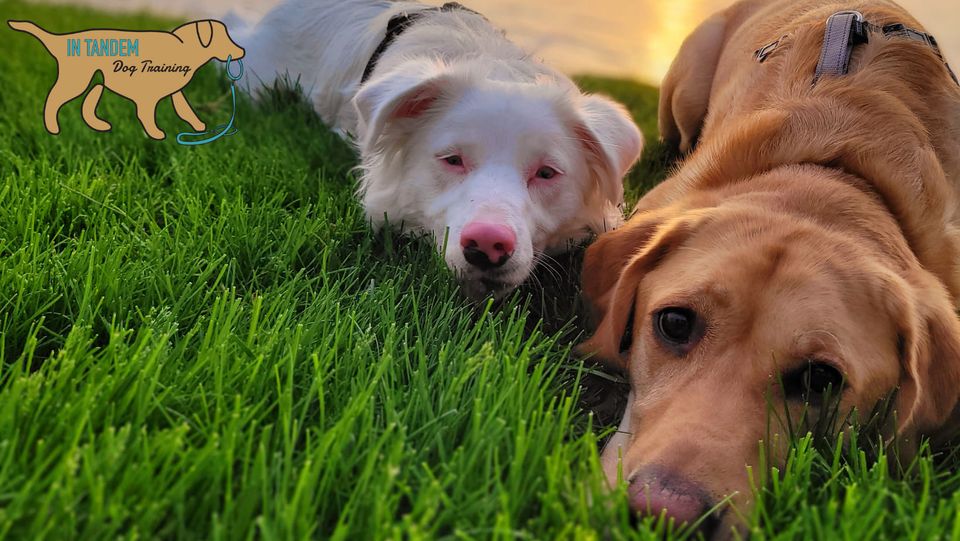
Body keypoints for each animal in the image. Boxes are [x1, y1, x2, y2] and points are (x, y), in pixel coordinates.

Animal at [7, 19, 246, 139]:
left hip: (96, 81)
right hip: (78, 80)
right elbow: (147, 115)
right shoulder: (148, 96)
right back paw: (53, 128)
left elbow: (185, 109)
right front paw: (156, 133)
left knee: (87, 105)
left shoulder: (175, 92)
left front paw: (199, 126)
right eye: (223, 37)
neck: (184, 48)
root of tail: (61, 40)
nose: (242, 51)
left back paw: (99, 126)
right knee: (54, 100)